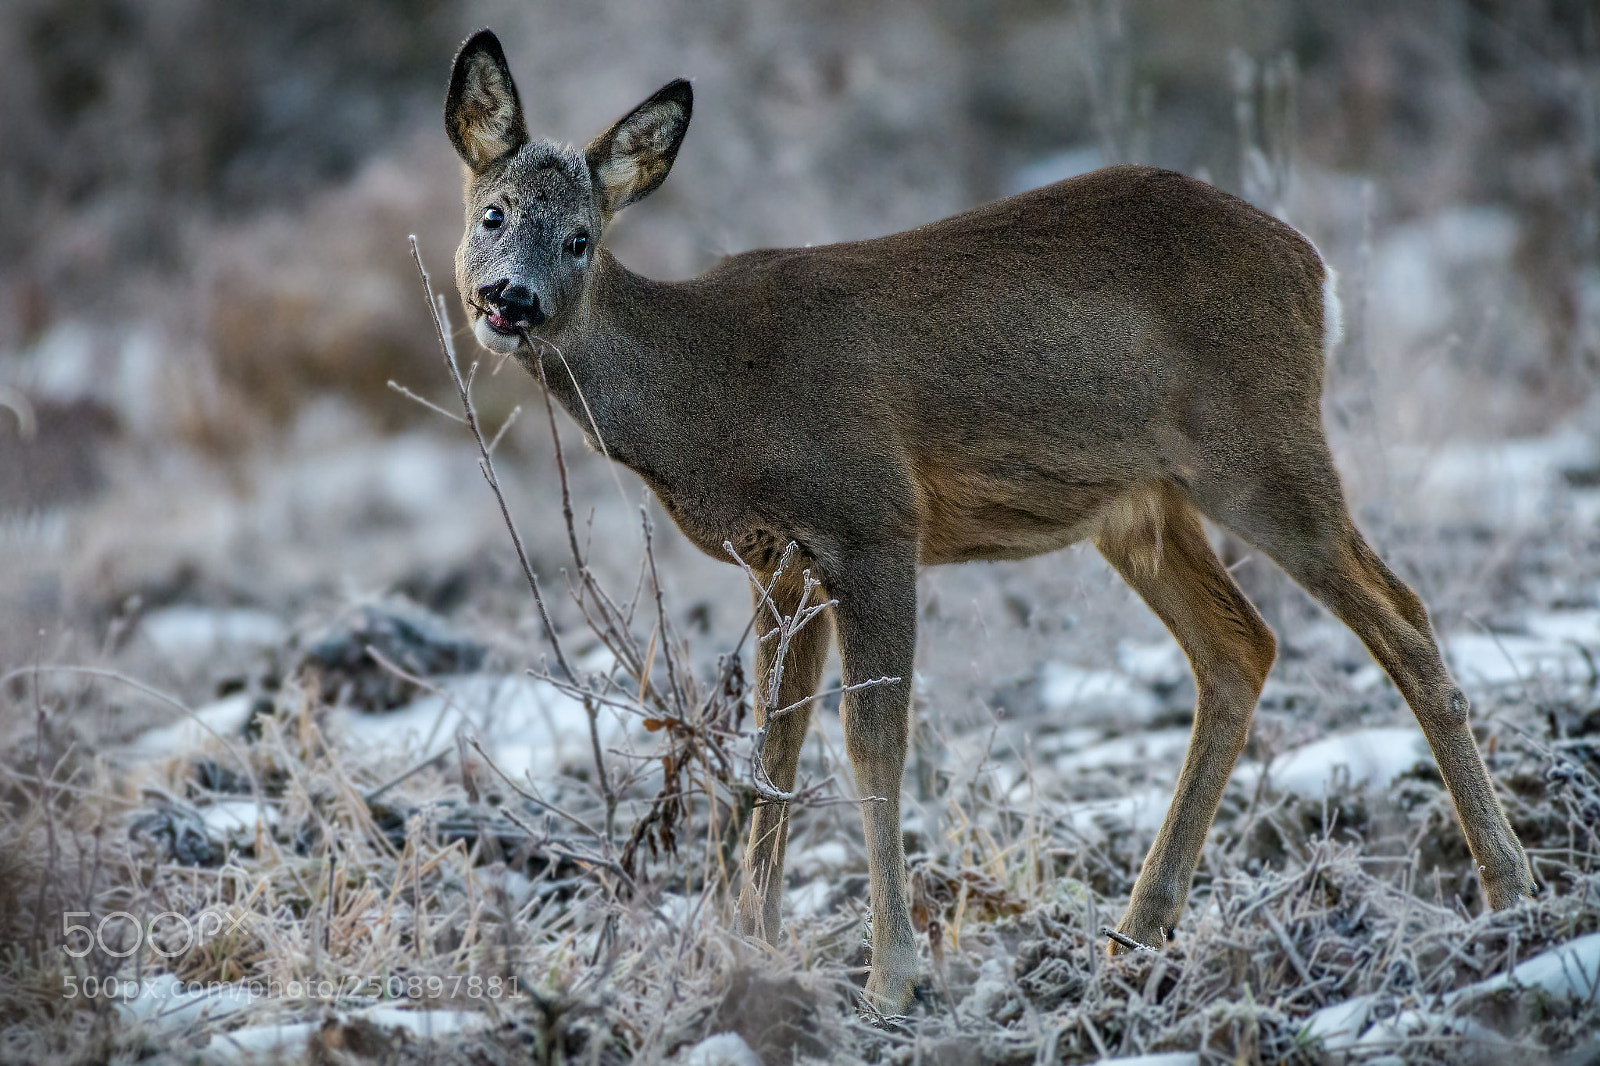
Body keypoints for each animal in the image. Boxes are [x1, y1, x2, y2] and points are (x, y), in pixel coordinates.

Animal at [443, 29, 1535, 1013]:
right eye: (492, 212)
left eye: (582, 237)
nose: (510, 299)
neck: (711, 397)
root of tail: (1314, 269)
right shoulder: (777, 563)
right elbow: (772, 753)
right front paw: (745, 950)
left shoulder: (873, 519)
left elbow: (871, 744)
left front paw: (891, 978)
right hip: (1139, 504)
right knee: (1241, 645)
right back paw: (1133, 936)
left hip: (1260, 449)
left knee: (1401, 620)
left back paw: (1509, 890)